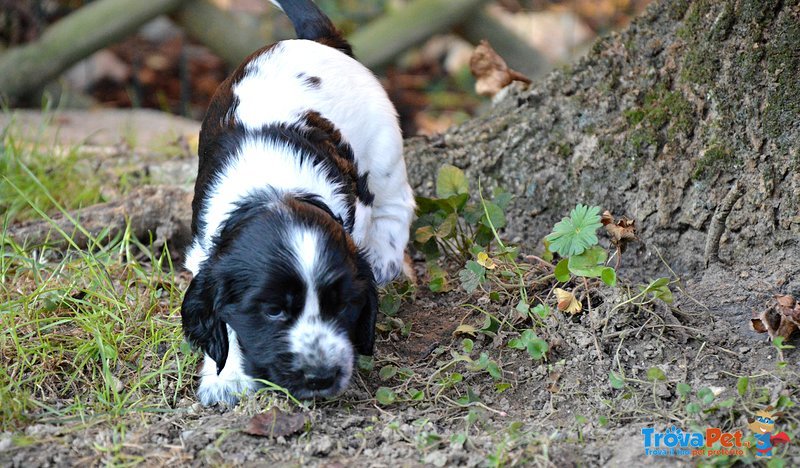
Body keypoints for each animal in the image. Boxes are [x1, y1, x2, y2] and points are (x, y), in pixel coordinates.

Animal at [181, 0, 416, 406]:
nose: (321, 377)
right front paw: (224, 378)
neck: (275, 189)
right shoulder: (203, 250)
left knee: (397, 200)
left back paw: (386, 258)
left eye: (341, 306)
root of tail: (319, 41)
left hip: (383, 144)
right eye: (274, 311)